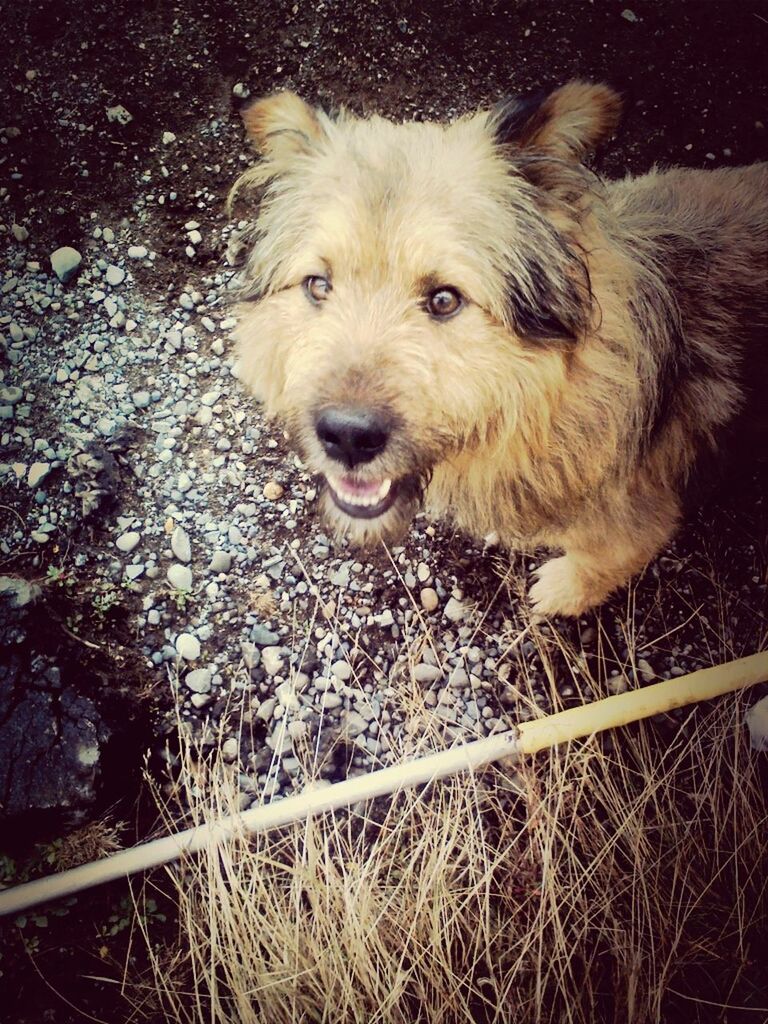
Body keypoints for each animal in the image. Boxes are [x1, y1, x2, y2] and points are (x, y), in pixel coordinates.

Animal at [230, 81, 768, 614]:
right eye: (318, 285)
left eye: (445, 299)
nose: (346, 436)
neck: (555, 401)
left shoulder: (635, 523)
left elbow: (603, 561)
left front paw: (561, 592)